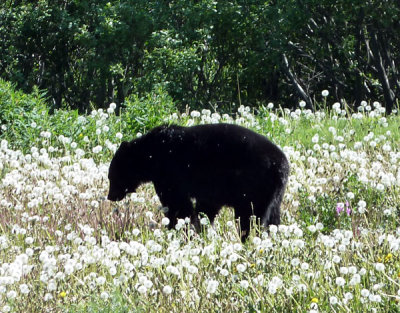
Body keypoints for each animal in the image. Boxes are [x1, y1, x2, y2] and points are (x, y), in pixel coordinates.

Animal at [108, 123, 290, 240]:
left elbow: (177, 204)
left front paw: (179, 228)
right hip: (275, 193)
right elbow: (205, 207)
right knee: (274, 217)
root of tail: (281, 164)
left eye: (111, 176)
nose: (110, 196)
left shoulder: (169, 174)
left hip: (253, 188)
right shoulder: (212, 188)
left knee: (252, 217)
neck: (150, 155)